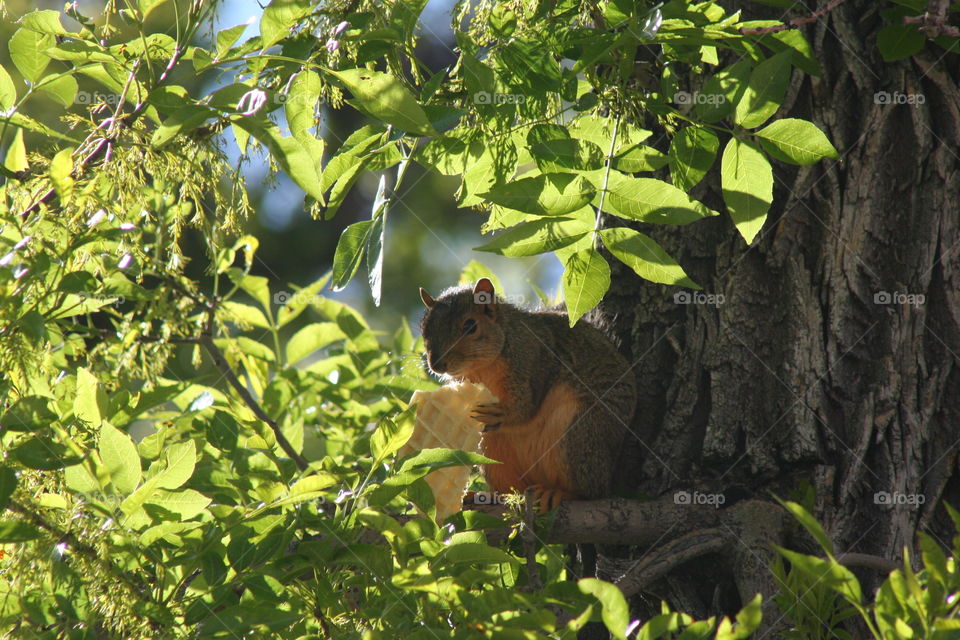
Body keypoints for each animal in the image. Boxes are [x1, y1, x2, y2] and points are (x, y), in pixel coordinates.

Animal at [418, 277, 637, 510]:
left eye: (470, 326)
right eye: (424, 328)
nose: (436, 365)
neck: (482, 367)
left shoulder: (532, 362)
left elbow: (526, 407)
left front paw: (502, 414)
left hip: (579, 434)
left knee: (592, 490)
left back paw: (561, 493)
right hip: (492, 452)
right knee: (511, 489)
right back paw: (490, 496)